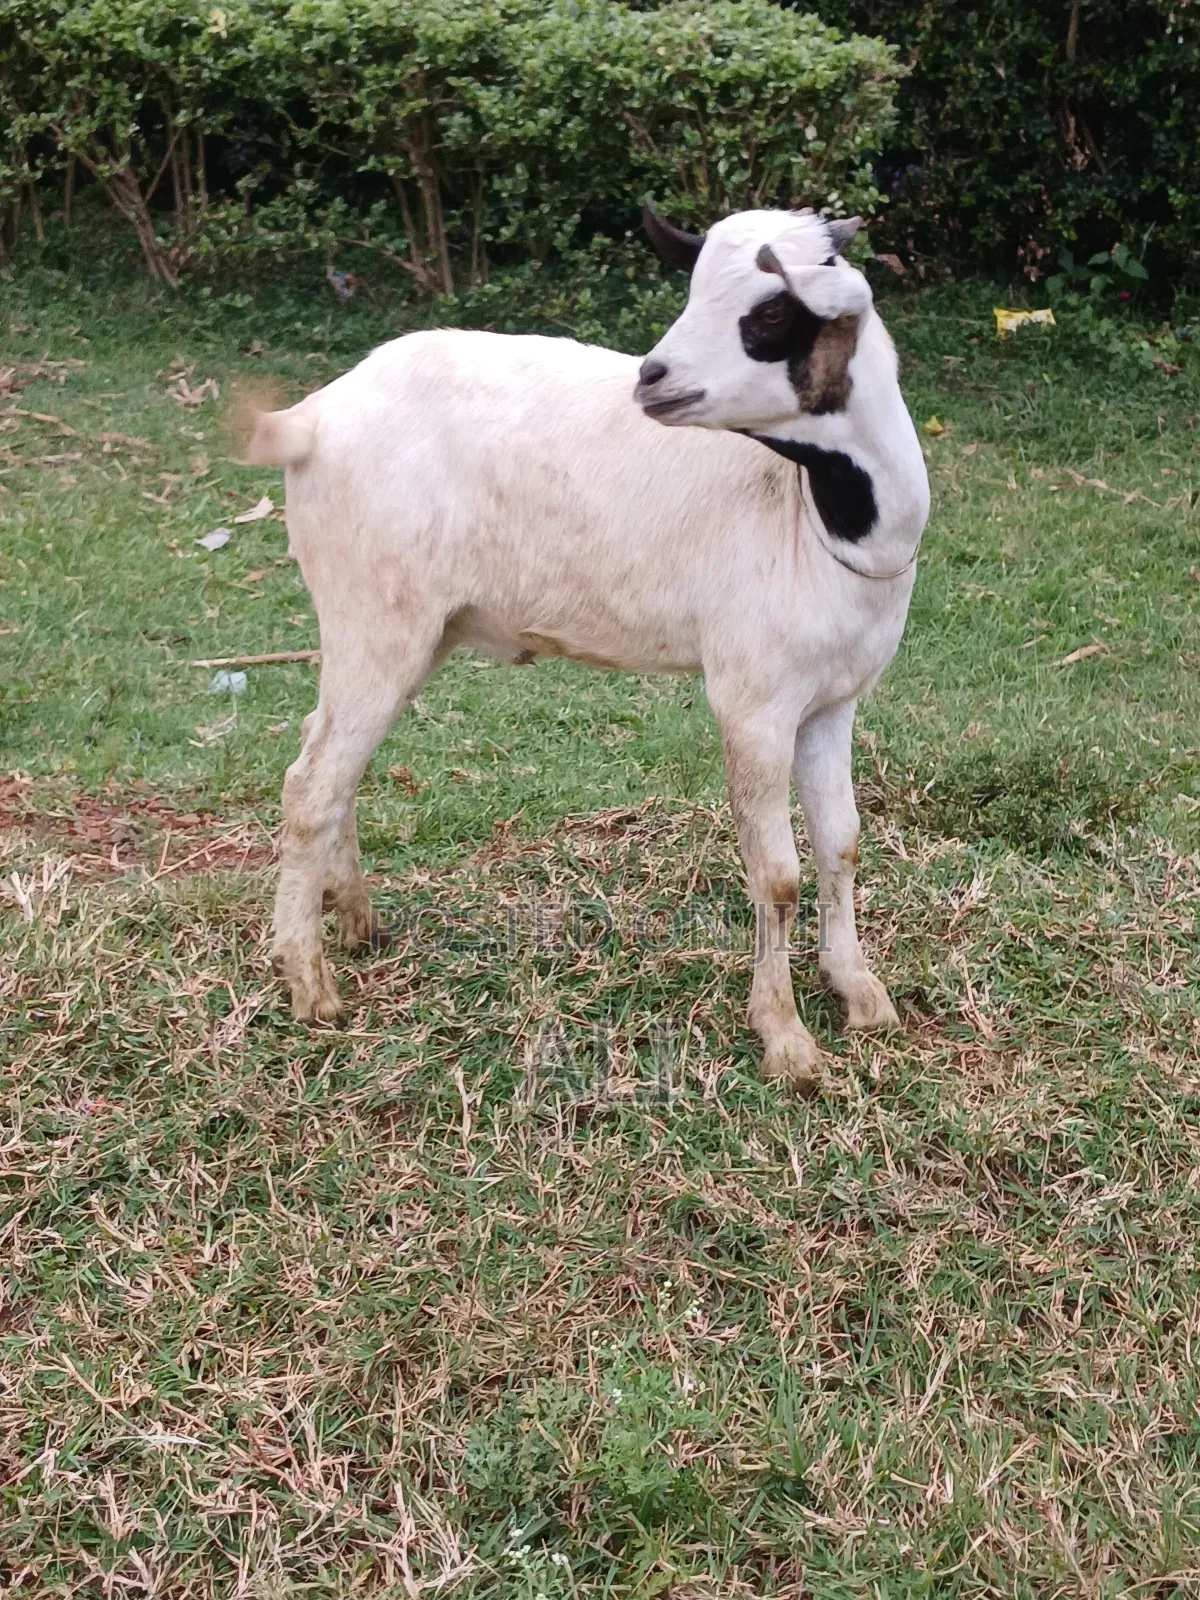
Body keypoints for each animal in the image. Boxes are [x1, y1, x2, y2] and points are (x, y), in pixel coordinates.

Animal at [243, 205, 930, 1089]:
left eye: (773, 313)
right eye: (696, 286)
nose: (653, 377)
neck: (816, 514)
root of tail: (314, 417)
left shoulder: (832, 699)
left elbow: (841, 843)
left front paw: (860, 992)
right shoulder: (753, 699)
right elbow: (777, 876)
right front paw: (785, 1038)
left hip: (407, 629)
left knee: (329, 757)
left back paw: (355, 920)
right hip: (372, 612)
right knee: (310, 784)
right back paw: (309, 984)